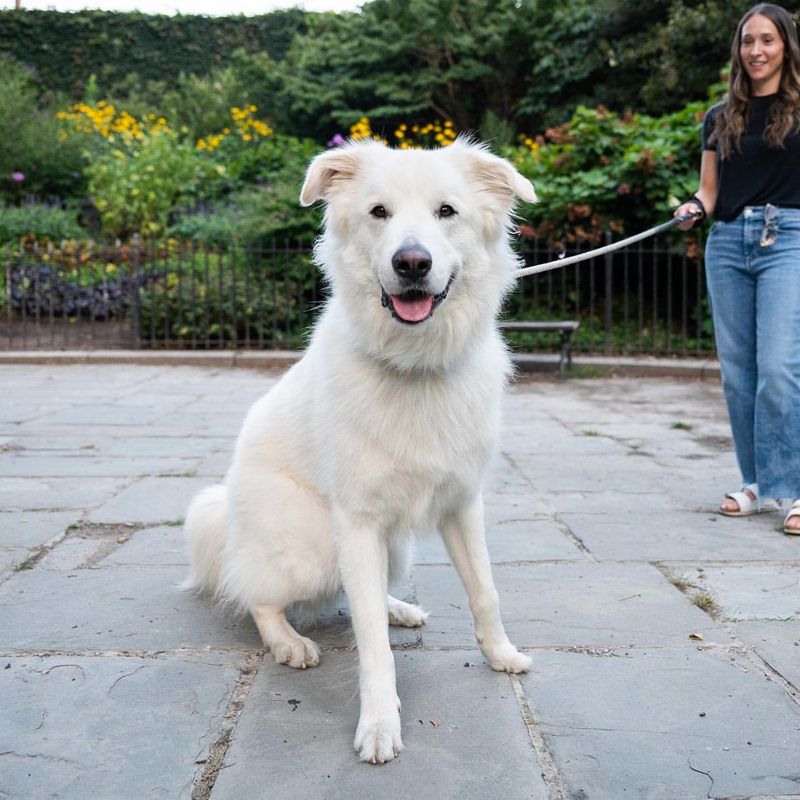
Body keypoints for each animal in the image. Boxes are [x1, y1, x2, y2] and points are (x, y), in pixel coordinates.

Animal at [186, 138, 536, 764]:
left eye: (446, 211)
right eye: (379, 213)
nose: (412, 262)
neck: (414, 365)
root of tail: (227, 514)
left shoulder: (461, 506)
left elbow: (485, 591)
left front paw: (501, 655)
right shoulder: (355, 523)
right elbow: (372, 646)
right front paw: (378, 724)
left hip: (393, 547)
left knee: (359, 592)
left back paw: (399, 608)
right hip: (310, 549)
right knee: (257, 594)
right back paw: (289, 642)